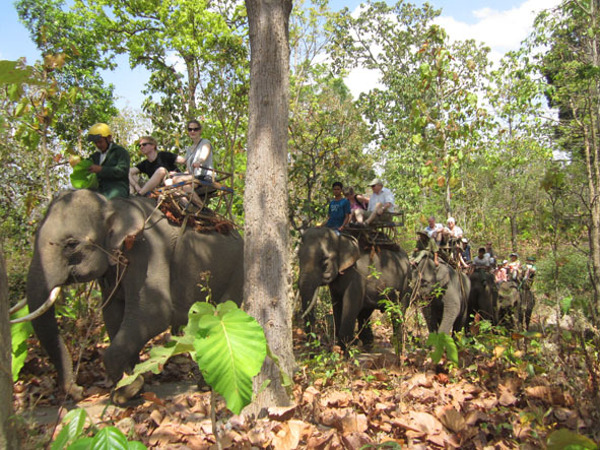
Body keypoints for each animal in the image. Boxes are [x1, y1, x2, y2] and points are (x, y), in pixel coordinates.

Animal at [22, 188, 244, 402]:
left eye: (71, 244)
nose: (79, 392)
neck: (113, 204)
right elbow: (113, 315)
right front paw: (134, 382)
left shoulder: (148, 249)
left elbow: (153, 314)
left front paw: (126, 392)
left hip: (236, 275)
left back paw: (207, 386)